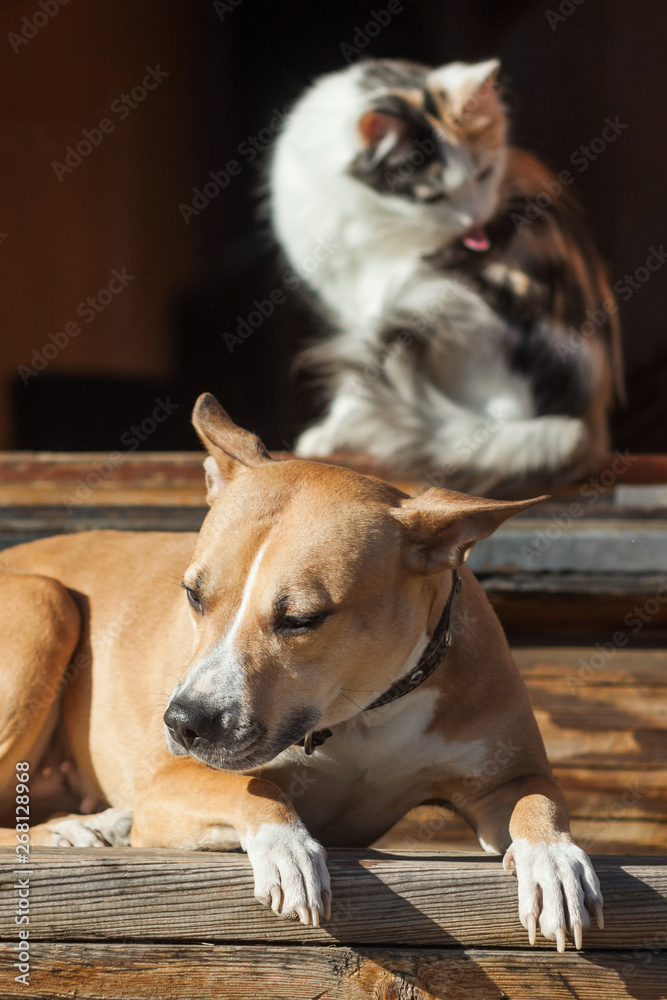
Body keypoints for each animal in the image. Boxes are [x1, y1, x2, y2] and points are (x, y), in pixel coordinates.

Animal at [0, 392, 604, 944]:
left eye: (302, 620)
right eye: (194, 596)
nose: (183, 723)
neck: (365, 711)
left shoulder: (504, 778)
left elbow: (538, 801)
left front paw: (554, 862)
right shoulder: (169, 785)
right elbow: (254, 790)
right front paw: (288, 847)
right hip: (44, 601)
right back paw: (75, 830)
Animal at [268, 56, 624, 494]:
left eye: (485, 174)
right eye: (435, 196)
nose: (475, 221)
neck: (369, 219)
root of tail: (590, 422)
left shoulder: (388, 297)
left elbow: (359, 379)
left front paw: (336, 433)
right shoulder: (351, 301)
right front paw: (329, 436)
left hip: (467, 304)